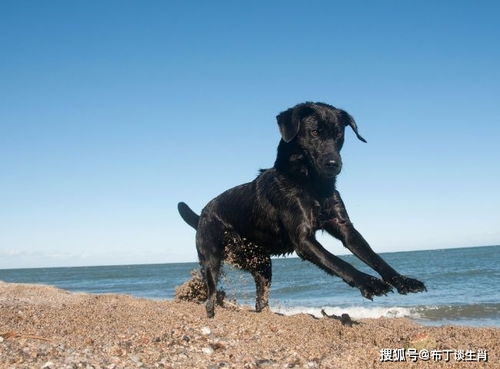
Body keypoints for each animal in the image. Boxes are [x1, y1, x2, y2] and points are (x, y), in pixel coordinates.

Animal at [178, 101, 424, 316]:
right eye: (314, 132)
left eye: (339, 135)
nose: (334, 164)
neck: (312, 184)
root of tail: (202, 214)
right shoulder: (303, 239)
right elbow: (339, 262)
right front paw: (369, 283)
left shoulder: (343, 226)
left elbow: (373, 256)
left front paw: (403, 280)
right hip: (211, 258)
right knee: (210, 296)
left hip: (262, 264)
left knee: (261, 300)